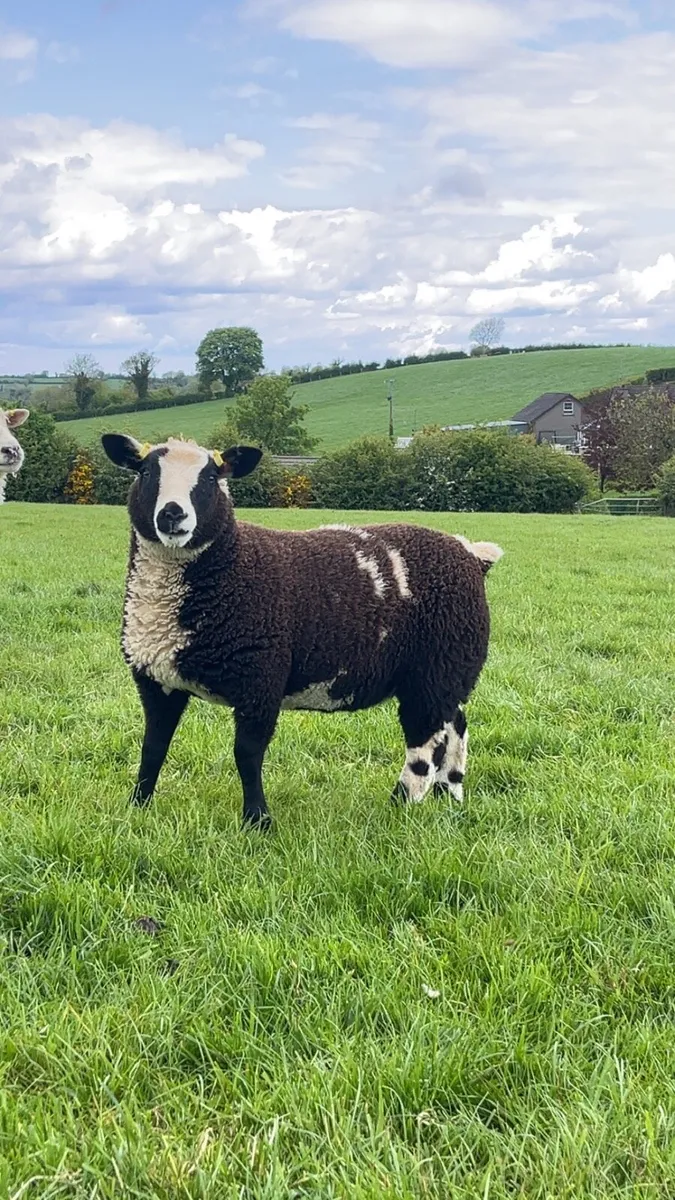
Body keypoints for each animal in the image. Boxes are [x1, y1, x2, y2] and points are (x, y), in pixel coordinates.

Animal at [101, 433, 503, 830]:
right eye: (146, 472)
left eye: (211, 479)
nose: (173, 514)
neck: (232, 567)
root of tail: (471, 554)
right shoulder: (157, 680)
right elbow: (153, 747)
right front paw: (137, 807)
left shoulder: (261, 678)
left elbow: (246, 754)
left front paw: (257, 821)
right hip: (449, 671)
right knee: (456, 726)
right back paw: (449, 795)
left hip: (437, 664)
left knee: (425, 741)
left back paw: (400, 805)